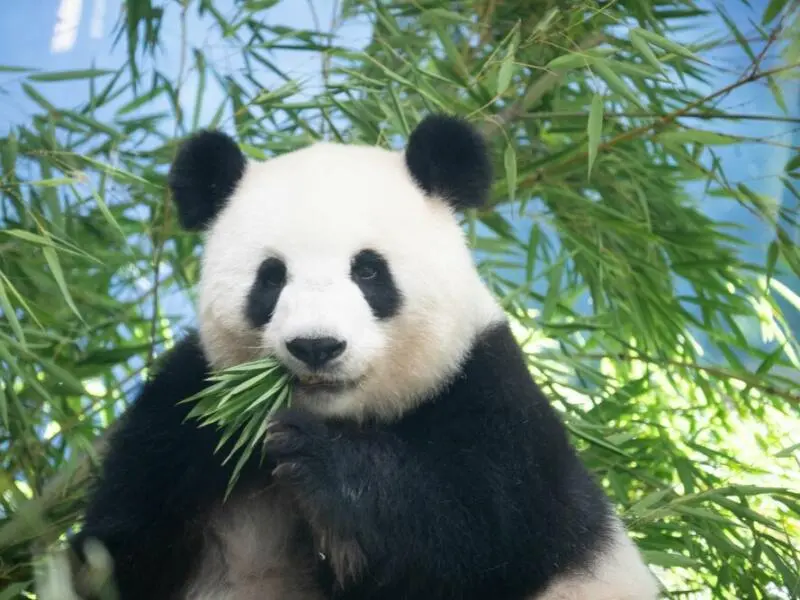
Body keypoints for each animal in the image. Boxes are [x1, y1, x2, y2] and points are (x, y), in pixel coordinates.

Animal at [62, 113, 660, 600]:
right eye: (271, 278)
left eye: (369, 270)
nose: (316, 346)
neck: (347, 416)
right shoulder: (181, 415)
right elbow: (117, 551)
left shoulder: (491, 397)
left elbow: (476, 530)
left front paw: (319, 461)